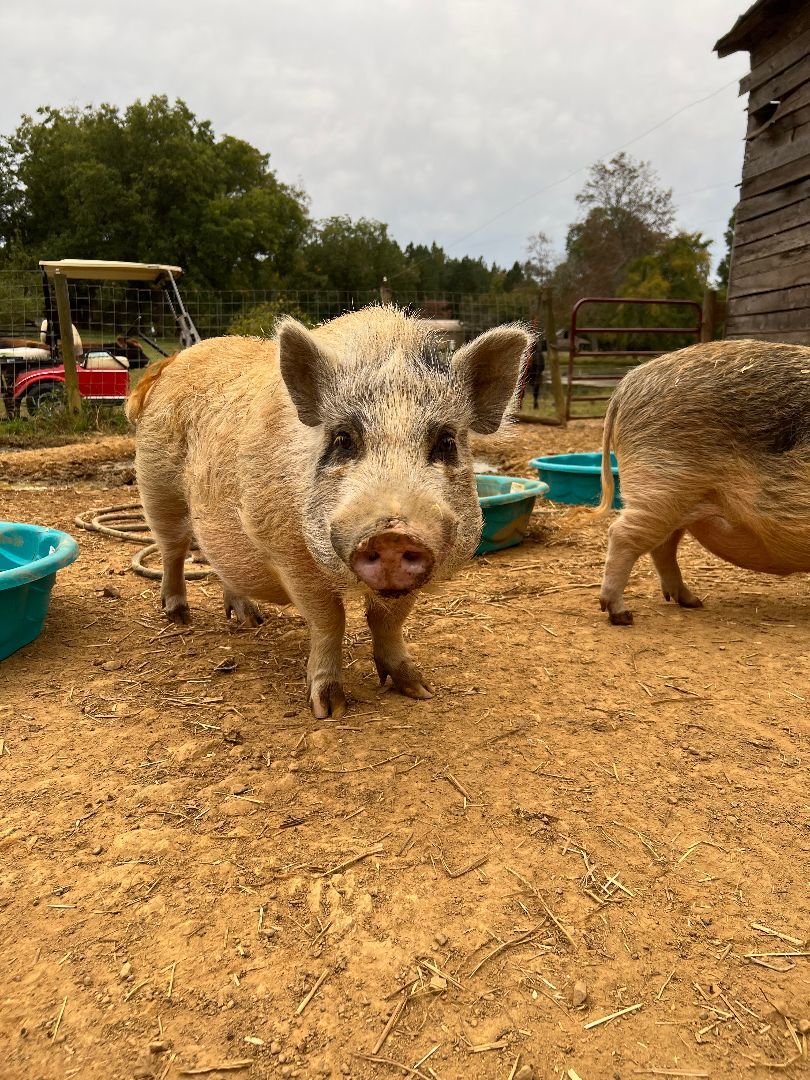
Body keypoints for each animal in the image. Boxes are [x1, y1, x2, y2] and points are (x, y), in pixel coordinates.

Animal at [126, 306, 531, 716]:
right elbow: (329, 621)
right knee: (173, 548)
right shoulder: (288, 551)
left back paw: (250, 620)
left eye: (446, 441)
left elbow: (389, 621)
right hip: (157, 482)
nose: (392, 535)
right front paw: (328, 709)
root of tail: (173, 361)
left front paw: (419, 689)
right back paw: (179, 616)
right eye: (343, 439)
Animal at [593, 338, 810, 625]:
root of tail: (628, 383)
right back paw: (623, 615)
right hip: (662, 482)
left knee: (662, 546)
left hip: (677, 497)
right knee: (622, 534)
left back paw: (692, 602)